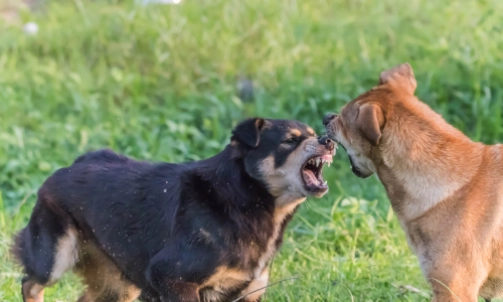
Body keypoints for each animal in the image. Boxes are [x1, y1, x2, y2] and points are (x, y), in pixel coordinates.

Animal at [12, 118, 334, 302]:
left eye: (314, 133)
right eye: (290, 140)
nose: (329, 141)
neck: (245, 199)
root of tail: (73, 164)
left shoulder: (250, 291)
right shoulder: (172, 278)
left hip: (119, 283)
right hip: (54, 257)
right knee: (30, 283)